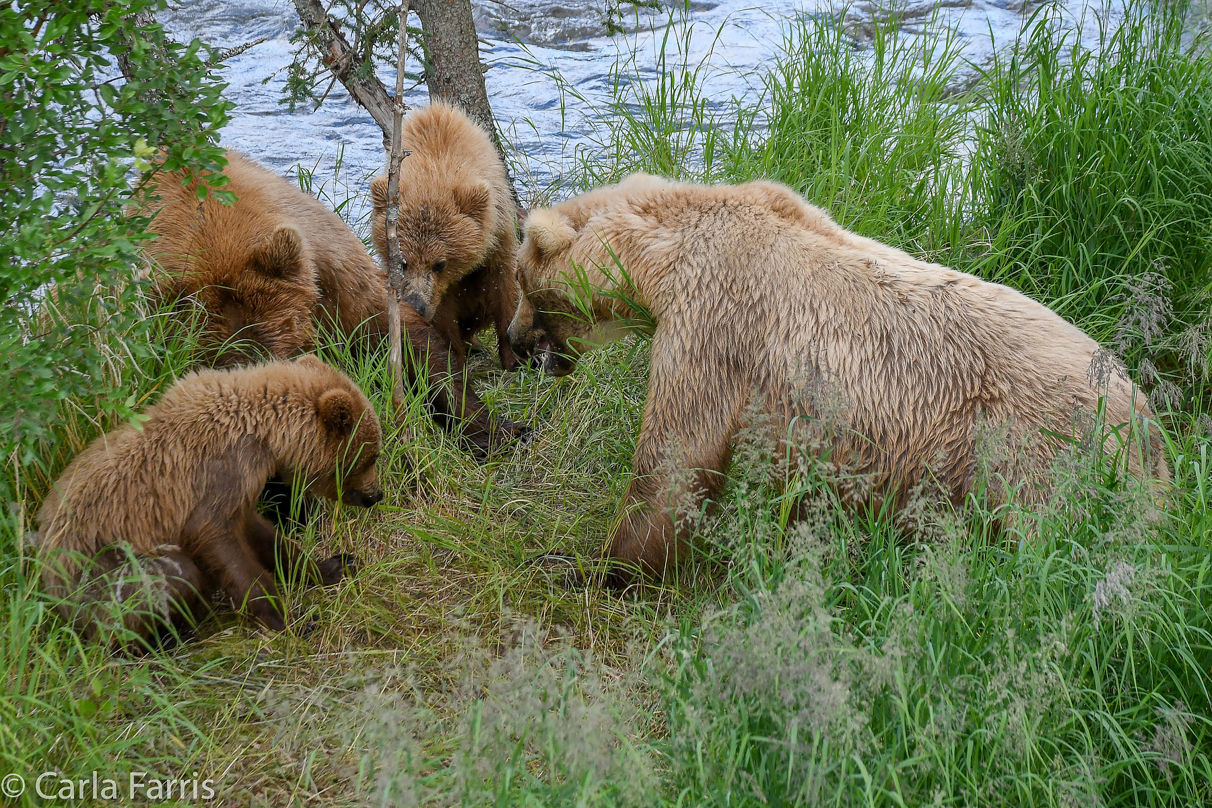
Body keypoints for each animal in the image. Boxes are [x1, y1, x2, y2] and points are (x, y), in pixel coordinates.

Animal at [506, 174, 1168, 583]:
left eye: (523, 285)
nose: (512, 344)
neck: (661, 259)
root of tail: (1147, 419)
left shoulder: (712, 324)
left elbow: (673, 460)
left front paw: (588, 565)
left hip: (1036, 454)